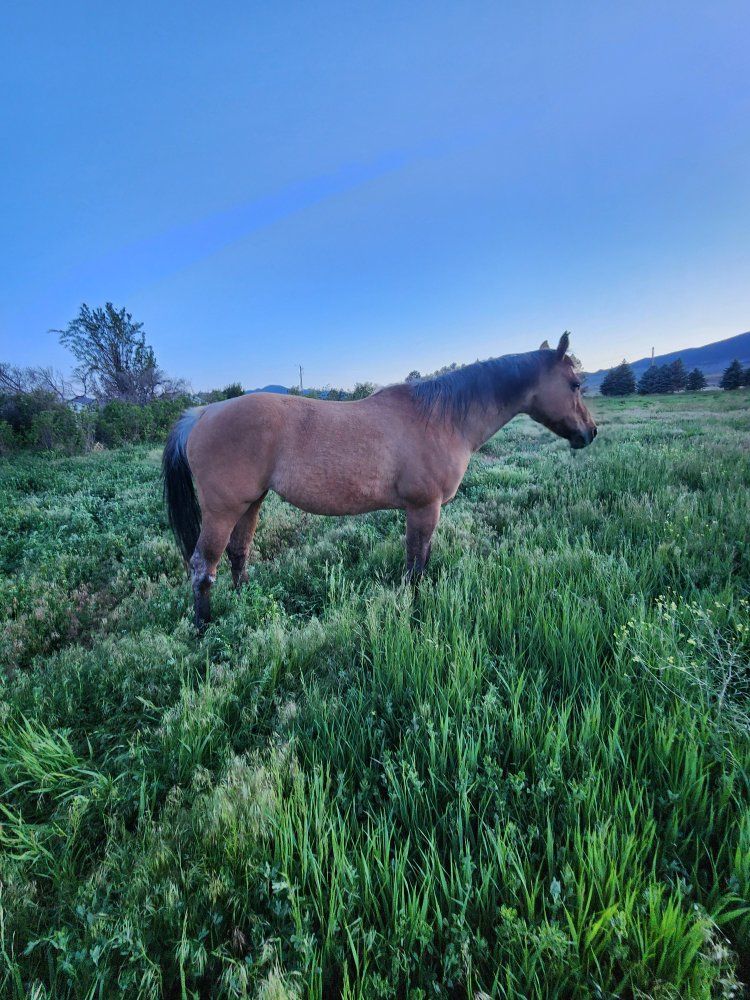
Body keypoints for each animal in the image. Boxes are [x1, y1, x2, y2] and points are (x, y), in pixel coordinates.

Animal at [163, 333, 597, 630]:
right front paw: (414, 608)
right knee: (203, 565)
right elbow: (415, 564)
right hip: (222, 510)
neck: (440, 418)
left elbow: (421, 559)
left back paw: (245, 604)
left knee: (238, 553)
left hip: (250, 503)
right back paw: (204, 629)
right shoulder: (423, 508)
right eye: (575, 385)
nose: (590, 432)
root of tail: (202, 414)